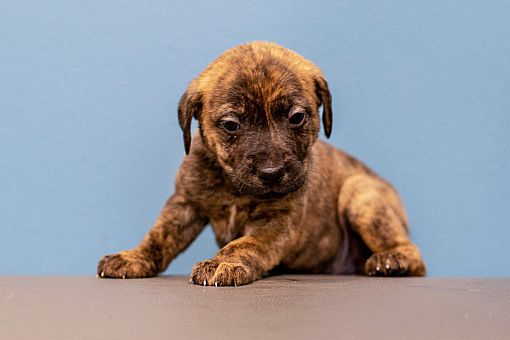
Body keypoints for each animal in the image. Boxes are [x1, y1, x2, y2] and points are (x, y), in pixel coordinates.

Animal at [96, 41, 426, 286]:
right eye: (231, 125)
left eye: (297, 117)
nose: (272, 173)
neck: (233, 186)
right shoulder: (185, 204)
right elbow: (159, 235)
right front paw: (134, 256)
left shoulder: (277, 219)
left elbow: (246, 243)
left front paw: (224, 262)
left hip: (359, 193)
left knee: (416, 256)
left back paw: (393, 259)